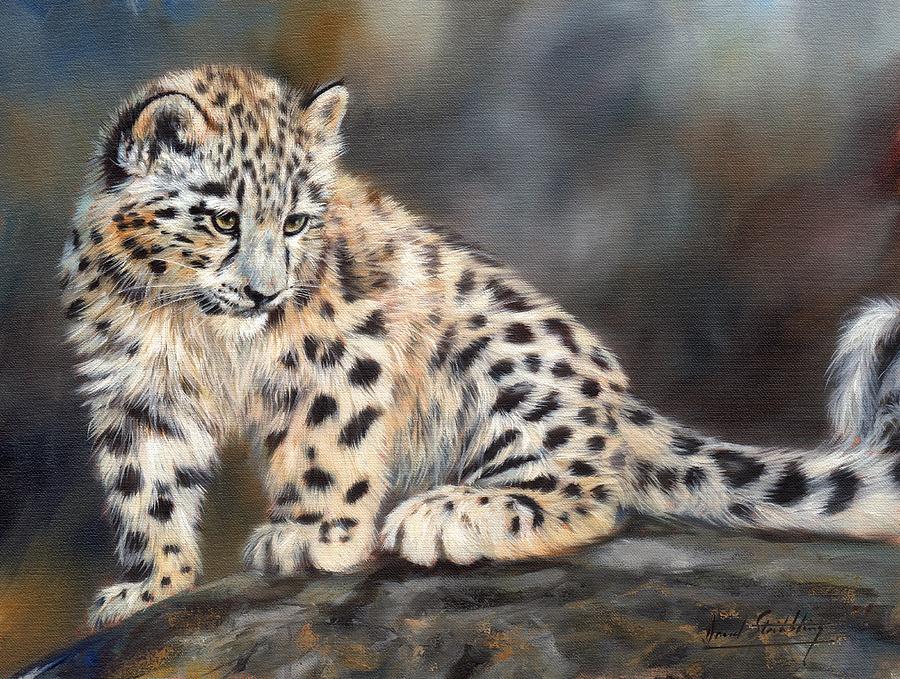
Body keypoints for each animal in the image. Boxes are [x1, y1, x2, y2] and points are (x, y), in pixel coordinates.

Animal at [59, 65, 900, 629]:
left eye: (296, 220)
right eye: (223, 218)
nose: (266, 293)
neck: (200, 328)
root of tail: (622, 405)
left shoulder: (341, 354)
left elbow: (326, 445)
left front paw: (311, 535)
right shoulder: (132, 387)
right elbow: (145, 487)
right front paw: (150, 586)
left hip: (508, 364)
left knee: (590, 491)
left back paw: (449, 515)